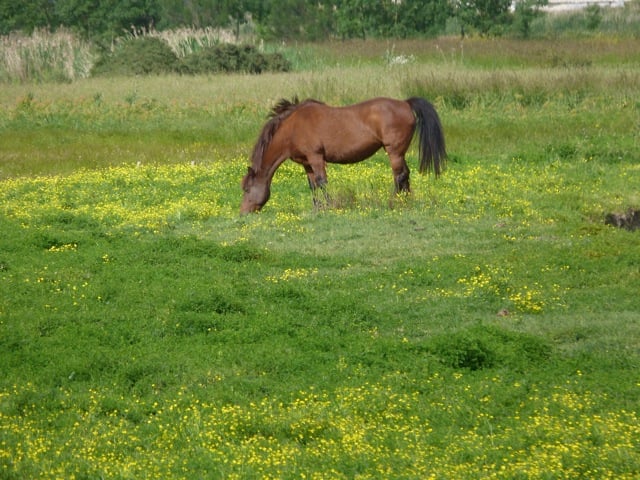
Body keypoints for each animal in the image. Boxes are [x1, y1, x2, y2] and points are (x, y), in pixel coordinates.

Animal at [241, 96, 446, 214]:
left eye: (247, 190)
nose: (243, 212)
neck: (293, 128)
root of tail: (405, 103)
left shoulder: (316, 158)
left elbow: (322, 182)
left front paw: (329, 206)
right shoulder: (307, 163)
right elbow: (312, 186)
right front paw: (317, 208)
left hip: (394, 151)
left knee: (399, 175)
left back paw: (393, 202)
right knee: (405, 174)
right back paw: (406, 201)